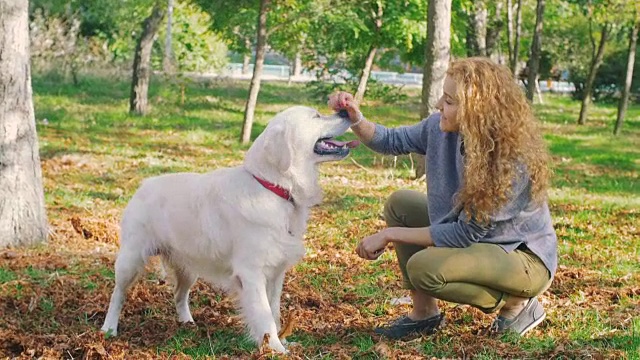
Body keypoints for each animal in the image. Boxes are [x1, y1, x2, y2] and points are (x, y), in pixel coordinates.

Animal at [102, 105, 358, 352]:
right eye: (316, 116)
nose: (346, 111)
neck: (272, 187)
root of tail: (144, 184)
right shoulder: (252, 272)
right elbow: (265, 315)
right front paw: (275, 348)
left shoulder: (276, 273)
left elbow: (275, 311)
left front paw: (282, 342)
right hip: (131, 260)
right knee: (118, 294)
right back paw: (109, 329)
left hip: (189, 267)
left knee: (178, 295)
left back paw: (187, 322)